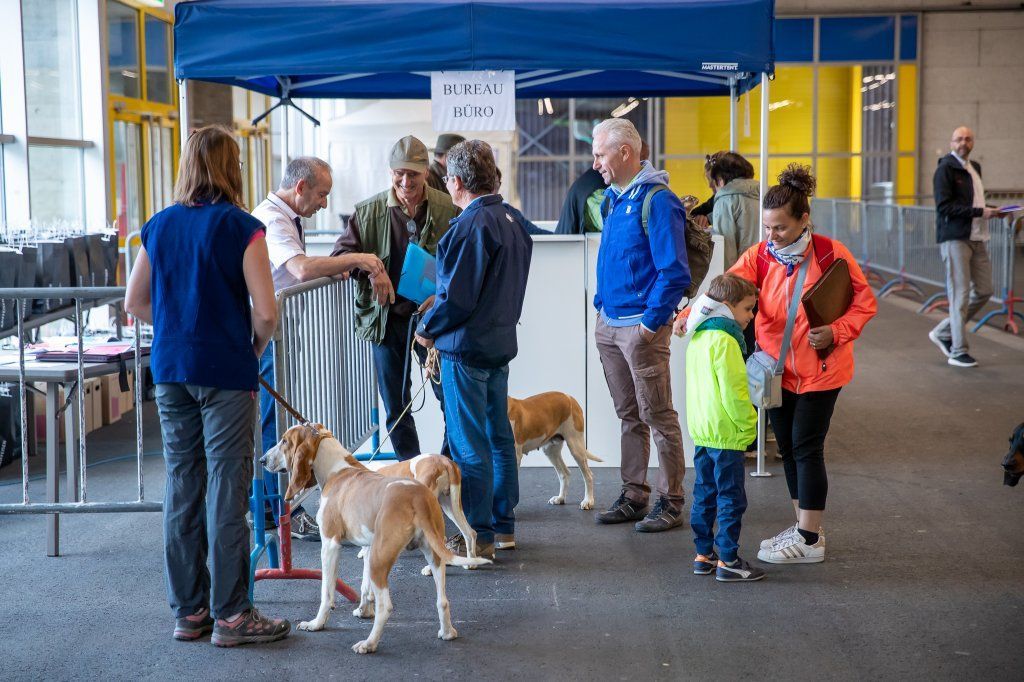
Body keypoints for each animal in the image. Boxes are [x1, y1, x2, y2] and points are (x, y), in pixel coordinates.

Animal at [262, 421, 489, 651]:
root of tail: (416, 497)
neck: (337, 470)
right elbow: (364, 585)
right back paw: (447, 631)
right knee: (443, 597)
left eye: (284, 441)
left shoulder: (330, 545)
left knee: (386, 606)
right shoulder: (369, 547)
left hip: (381, 559)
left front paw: (317, 623)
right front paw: (364, 610)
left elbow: (327, 592)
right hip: (431, 539)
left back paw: (369, 643)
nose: (262, 460)